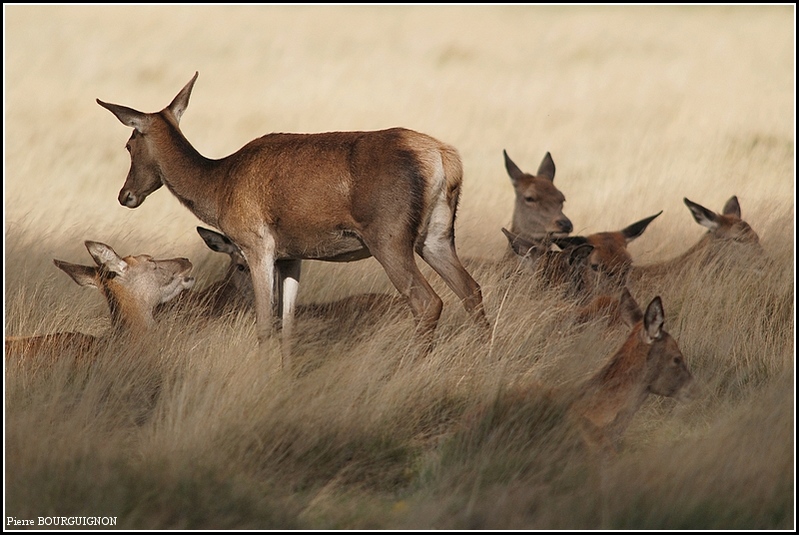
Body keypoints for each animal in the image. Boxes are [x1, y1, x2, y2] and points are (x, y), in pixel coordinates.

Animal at [97, 72, 490, 368]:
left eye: (129, 145)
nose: (125, 195)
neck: (218, 185)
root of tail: (444, 158)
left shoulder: (256, 244)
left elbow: (264, 326)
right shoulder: (292, 255)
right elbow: (287, 326)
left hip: (389, 237)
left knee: (427, 301)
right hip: (437, 236)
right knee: (471, 289)